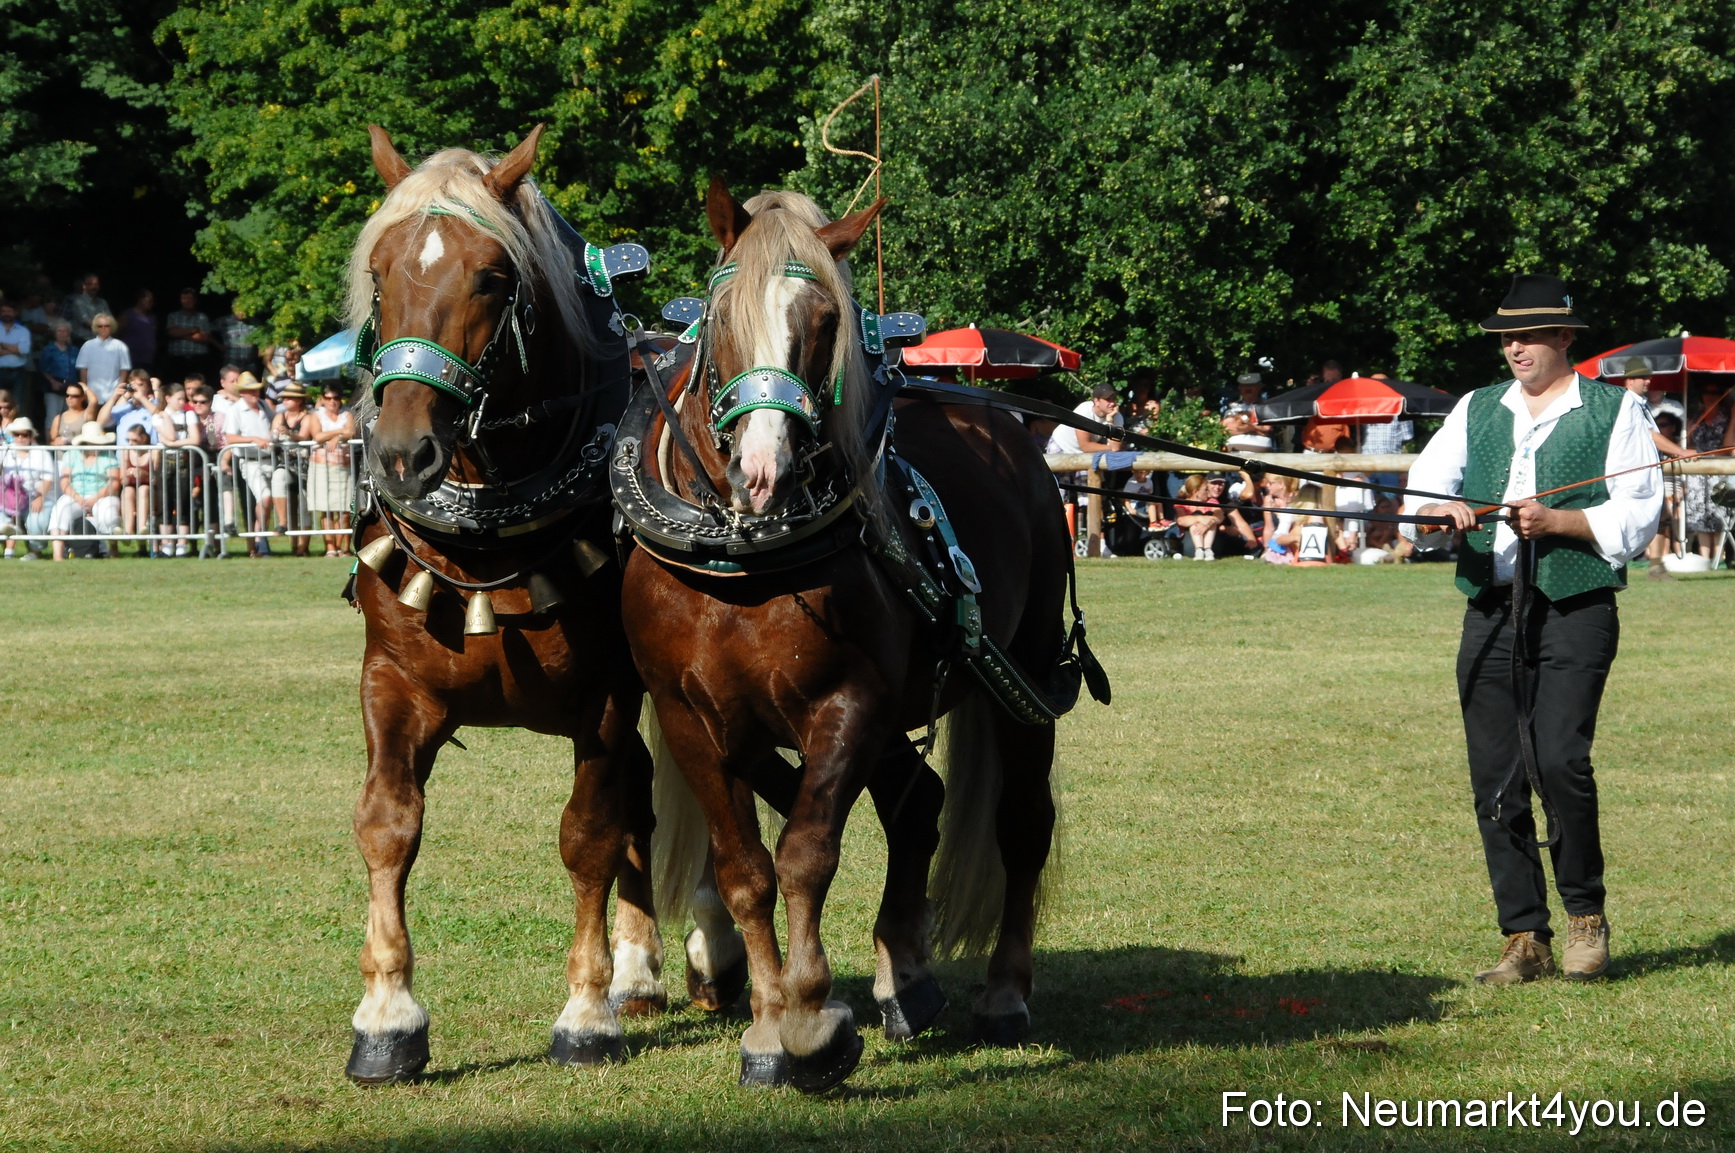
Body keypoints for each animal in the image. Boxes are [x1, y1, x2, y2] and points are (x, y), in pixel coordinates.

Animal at [341, 124, 664, 1082]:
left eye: (491, 277)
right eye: (381, 275)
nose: (404, 451)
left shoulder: (605, 695)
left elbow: (588, 833)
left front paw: (585, 1013)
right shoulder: (393, 683)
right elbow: (388, 825)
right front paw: (387, 1015)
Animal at [619, 180, 1080, 1092]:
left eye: (826, 319)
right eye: (719, 313)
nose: (762, 469)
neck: (738, 557)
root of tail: (1007, 424)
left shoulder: (845, 704)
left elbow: (804, 853)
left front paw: (808, 1021)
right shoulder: (691, 718)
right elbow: (745, 871)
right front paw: (768, 1025)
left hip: (1024, 670)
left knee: (1020, 821)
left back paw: (1005, 992)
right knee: (920, 800)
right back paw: (906, 974)